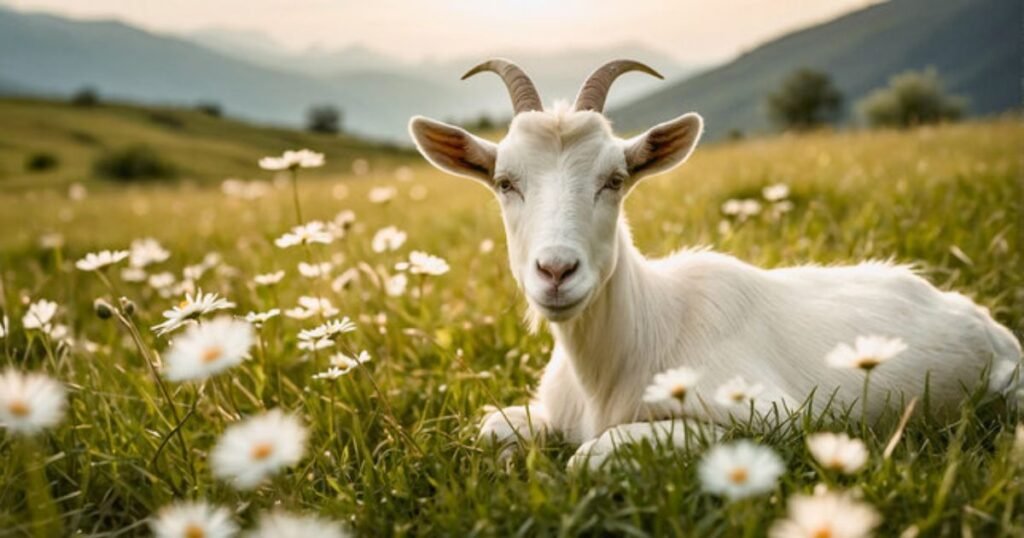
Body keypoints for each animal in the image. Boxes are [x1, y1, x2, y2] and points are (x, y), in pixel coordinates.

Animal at [408, 59, 1022, 469]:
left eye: (615, 179)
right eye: (504, 182)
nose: (557, 272)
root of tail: (984, 321)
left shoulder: (778, 418)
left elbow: (593, 454)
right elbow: (491, 428)